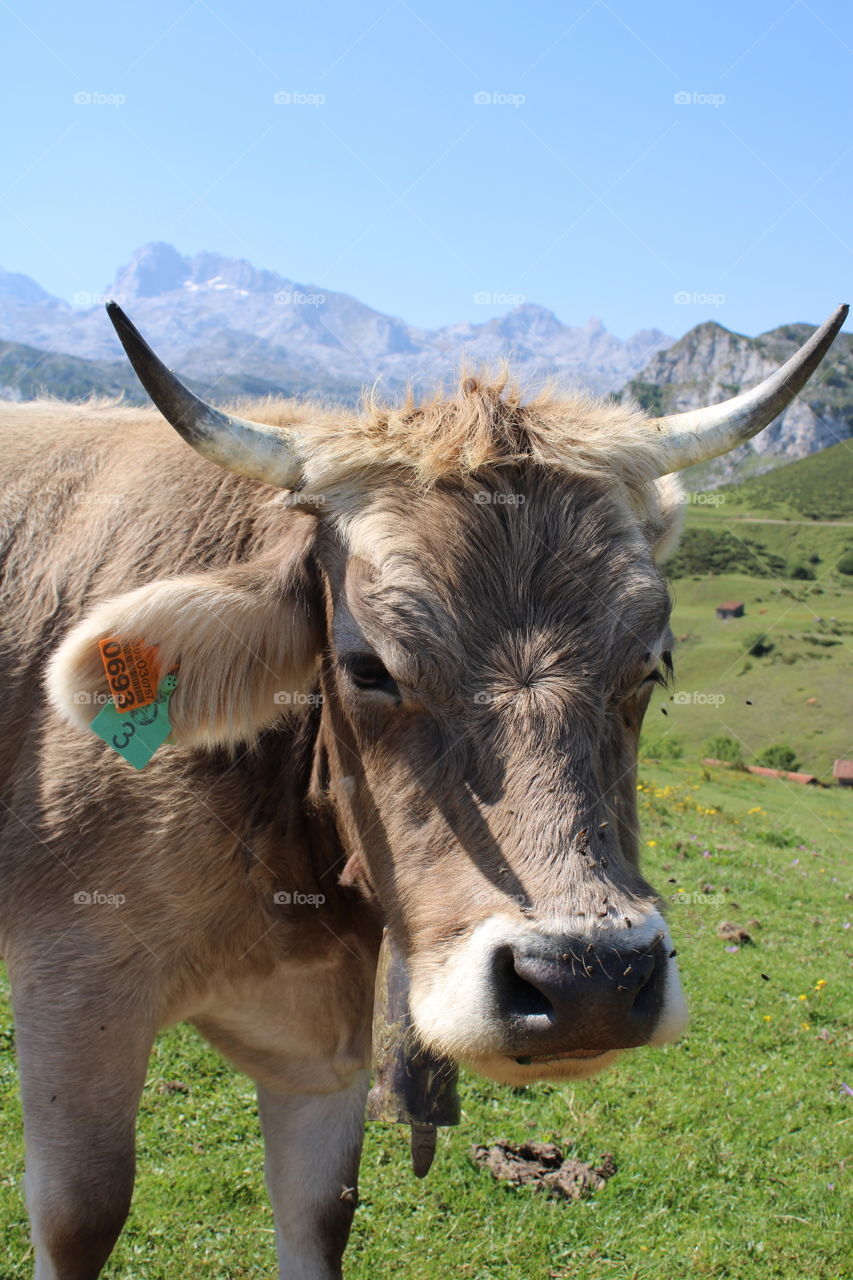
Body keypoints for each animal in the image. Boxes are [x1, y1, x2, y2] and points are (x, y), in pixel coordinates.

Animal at [0, 302, 840, 1280]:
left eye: (652, 663)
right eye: (367, 665)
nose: (586, 983)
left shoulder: (322, 1053)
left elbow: (321, 1215)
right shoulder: (73, 982)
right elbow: (81, 1214)